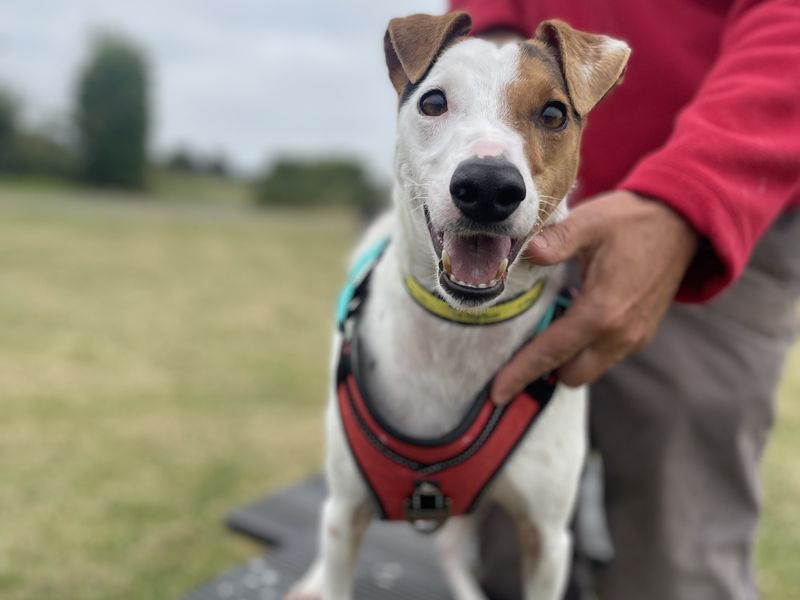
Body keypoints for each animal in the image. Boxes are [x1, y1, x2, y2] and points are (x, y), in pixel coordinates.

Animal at [288, 10, 632, 600]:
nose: (489, 187)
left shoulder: (547, 538)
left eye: (554, 113)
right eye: (433, 102)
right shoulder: (347, 511)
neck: (460, 329)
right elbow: (337, 561)